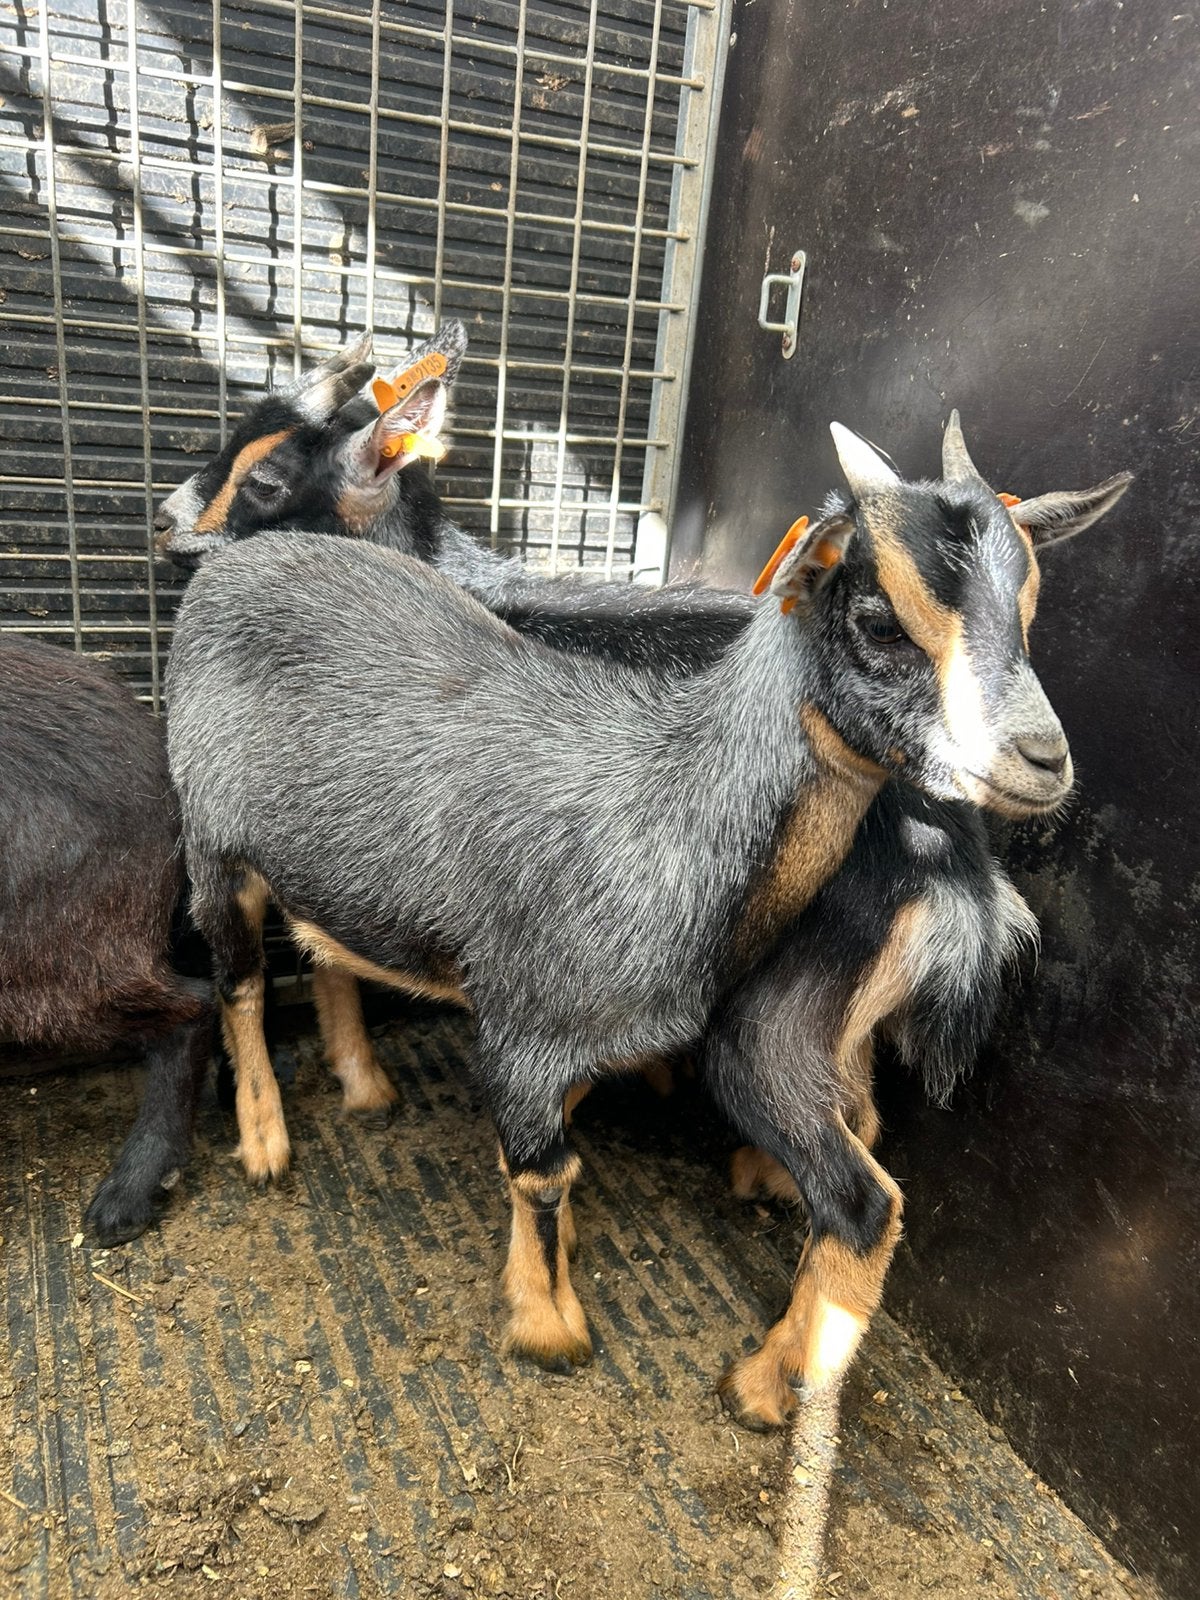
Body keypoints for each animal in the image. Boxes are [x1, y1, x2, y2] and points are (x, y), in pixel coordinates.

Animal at [163, 414, 1129, 1420]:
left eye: (1027, 614)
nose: (1044, 758)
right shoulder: (521, 1024)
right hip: (214, 839)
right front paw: (547, 1326)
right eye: (880, 619)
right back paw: (268, 1141)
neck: (671, 794)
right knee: (239, 982)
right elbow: (541, 1169)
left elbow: (552, 1150)